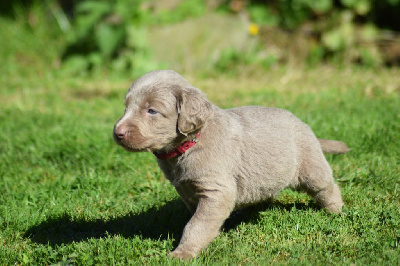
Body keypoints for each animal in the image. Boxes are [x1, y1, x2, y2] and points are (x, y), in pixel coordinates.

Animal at [113, 69, 350, 258]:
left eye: (152, 110)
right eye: (125, 108)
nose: (117, 132)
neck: (188, 146)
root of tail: (304, 125)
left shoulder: (216, 190)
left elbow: (196, 224)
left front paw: (183, 253)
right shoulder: (187, 190)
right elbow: (199, 217)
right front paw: (212, 235)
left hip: (310, 166)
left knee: (327, 187)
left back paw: (336, 210)